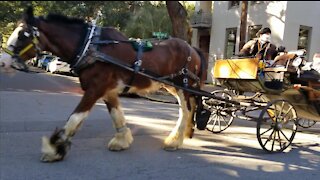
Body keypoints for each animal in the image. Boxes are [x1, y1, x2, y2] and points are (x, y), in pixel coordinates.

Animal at [0, 6, 208, 162]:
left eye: (23, 34)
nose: (3, 61)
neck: (92, 48)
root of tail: (193, 48)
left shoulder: (95, 88)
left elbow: (75, 117)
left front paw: (54, 149)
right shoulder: (108, 90)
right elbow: (116, 114)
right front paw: (122, 140)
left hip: (182, 86)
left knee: (186, 110)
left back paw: (174, 140)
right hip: (173, 86)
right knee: (187, 109)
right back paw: (184, 133)